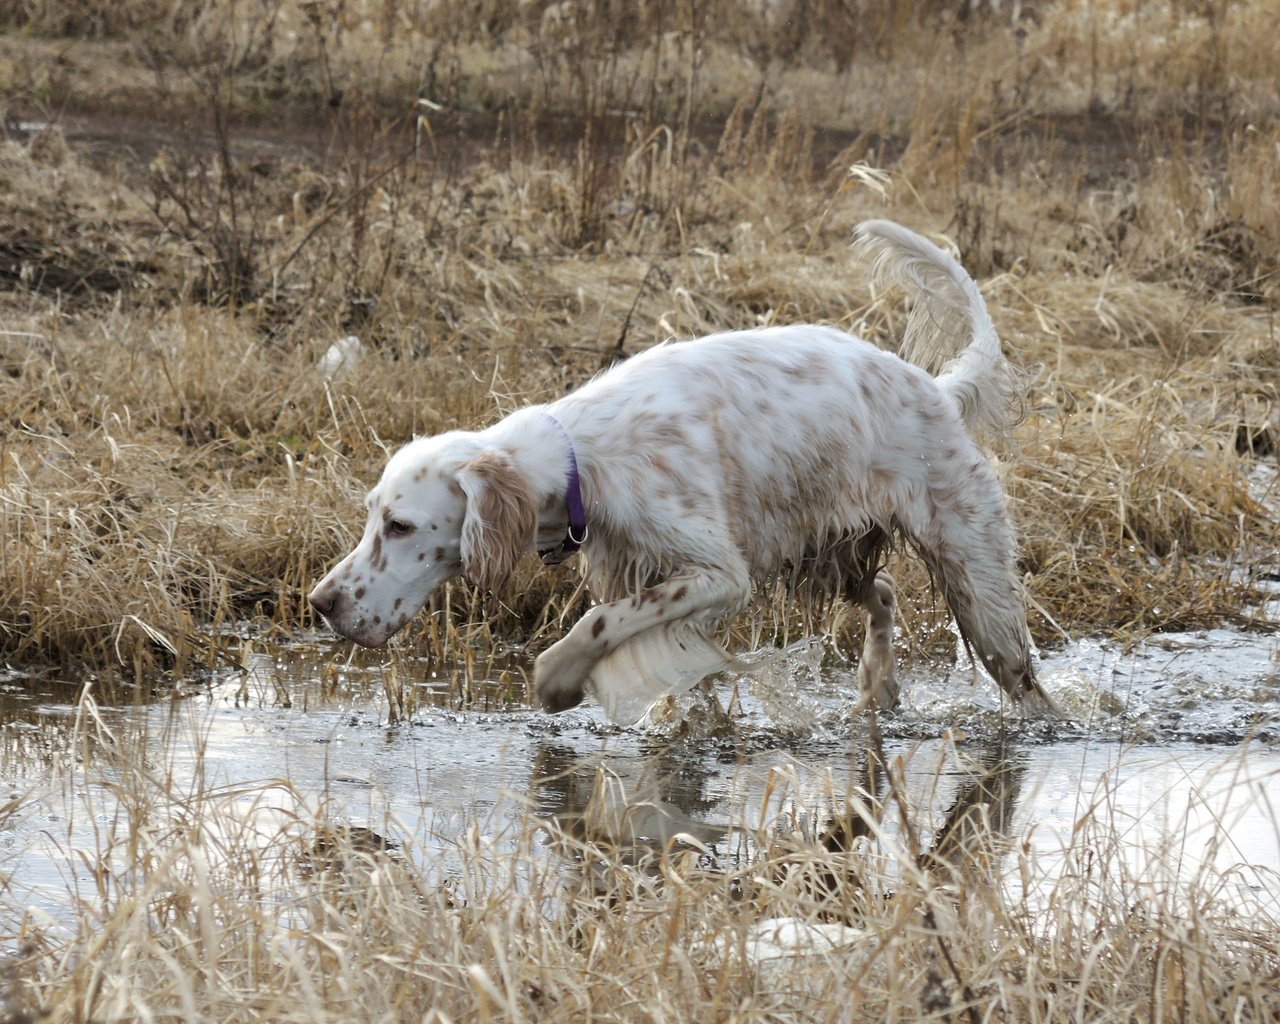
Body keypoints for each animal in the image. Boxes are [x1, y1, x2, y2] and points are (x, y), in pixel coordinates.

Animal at [309, 220, 1049, 721]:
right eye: (373, 517)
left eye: (401, 526)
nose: (322, 603)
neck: (584, 458)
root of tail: (940, 391)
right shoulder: (643, 569)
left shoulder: (719, 574)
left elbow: (599, 622)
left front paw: (558, 679)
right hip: (828, 557)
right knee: (886, 591)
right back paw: (877, 689)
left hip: (975, 582)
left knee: (1021, 674)